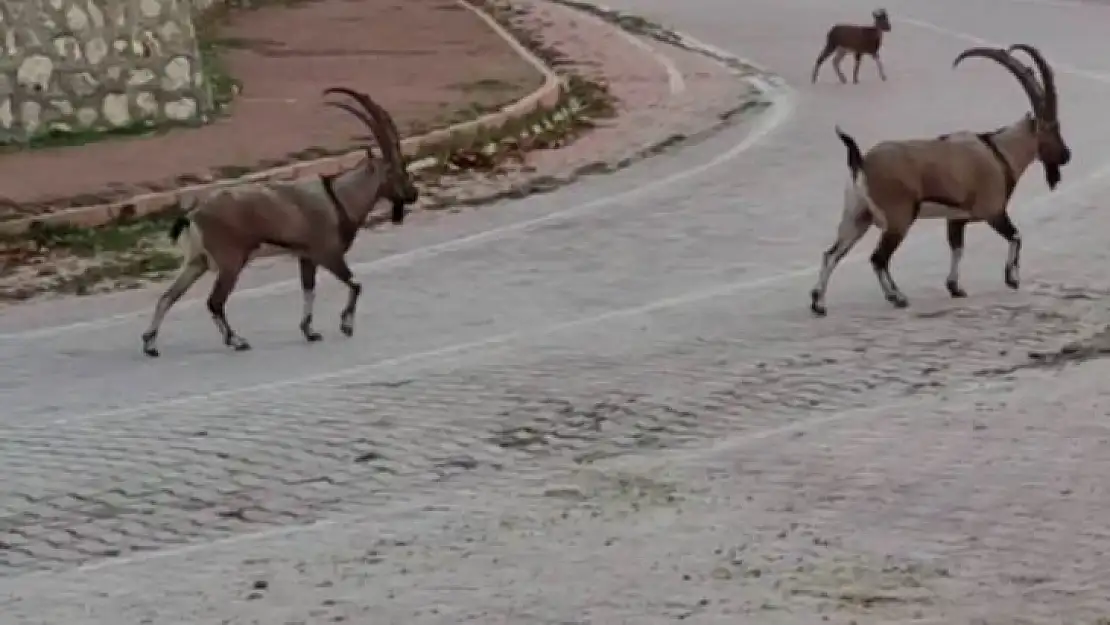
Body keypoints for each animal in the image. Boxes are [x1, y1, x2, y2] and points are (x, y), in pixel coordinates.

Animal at [138, 86, 417, 357]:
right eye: (395, 169)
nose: (413, 194)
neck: (339, 198)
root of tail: (193, 215)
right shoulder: (327, 253)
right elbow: (355, 284)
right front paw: (346, 325)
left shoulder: (307, 257)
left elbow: (309, 289)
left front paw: (309, 331)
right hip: (230, 261)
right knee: (214, 301)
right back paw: (236, 341)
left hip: (197, 262)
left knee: (167, 297)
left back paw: (151, 344)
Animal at [812, 43, 1070, 315]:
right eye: (1053, 128)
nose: (1066, 155)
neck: (999, 152)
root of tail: (861, 162)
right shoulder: (993, 211)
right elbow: (1016, 236)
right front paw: (1012, 279)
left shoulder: (956, 218)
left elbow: (957, 248)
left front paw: (955, 288)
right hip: (899, 219)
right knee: (878, 258)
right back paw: (897, 297)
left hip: (857, 215)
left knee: (831, 253)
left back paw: (819, 303)